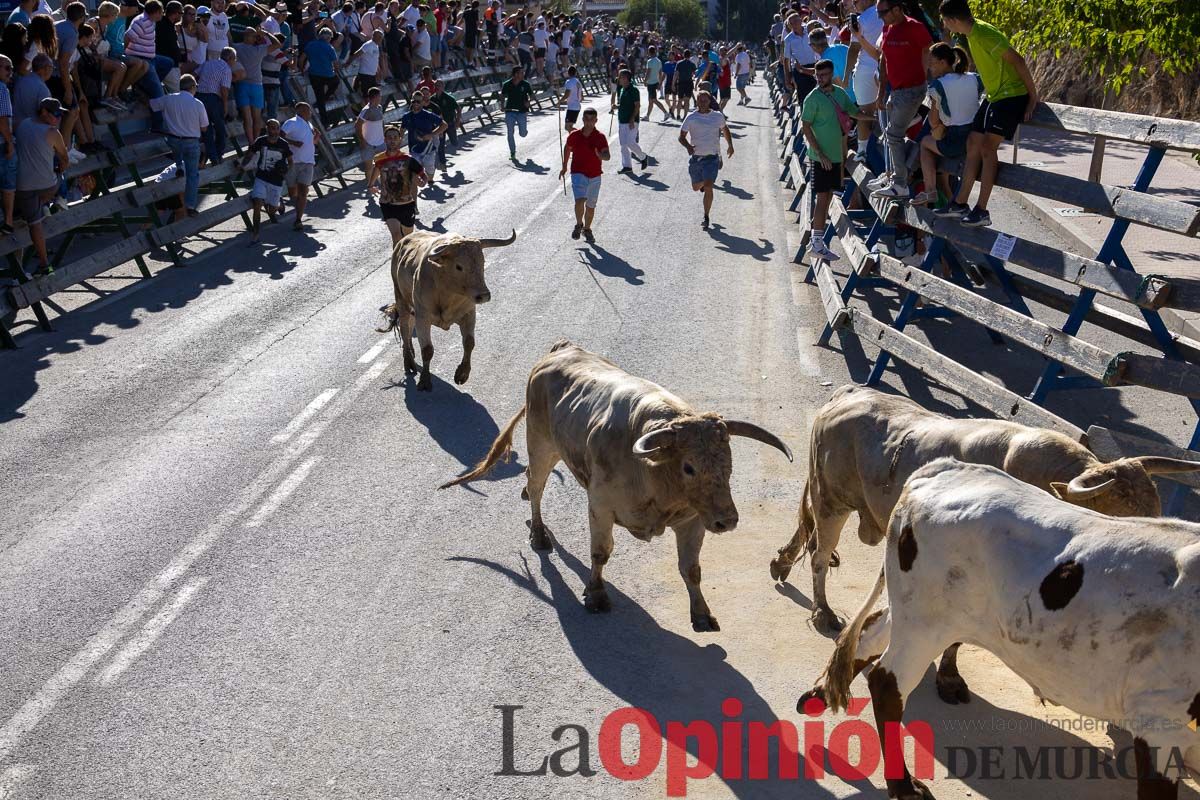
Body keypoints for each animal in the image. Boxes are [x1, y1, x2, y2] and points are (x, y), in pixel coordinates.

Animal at [379, 227, 516, 391]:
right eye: (459, 266)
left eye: (483, 262)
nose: (484, 295)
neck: (447, 289)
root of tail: (401, 243)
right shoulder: (423, 319)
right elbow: (427, 350)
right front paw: (424, 381)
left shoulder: (469, 314)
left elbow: (469, 342)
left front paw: (462, 374)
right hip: (402, 301)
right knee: (405, 330)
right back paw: (409, 362)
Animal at [441, 338, 796, 633]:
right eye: (689, 467)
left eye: (729, 462)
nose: (727, 520)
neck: (654, 475)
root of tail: (562, 349)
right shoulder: (600, 508)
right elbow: (601, 553)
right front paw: (596, 596)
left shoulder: (694, 520)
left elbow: (691, 568)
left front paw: (702, 614)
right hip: (541, 443)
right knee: (537, 485)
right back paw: (539, 534)